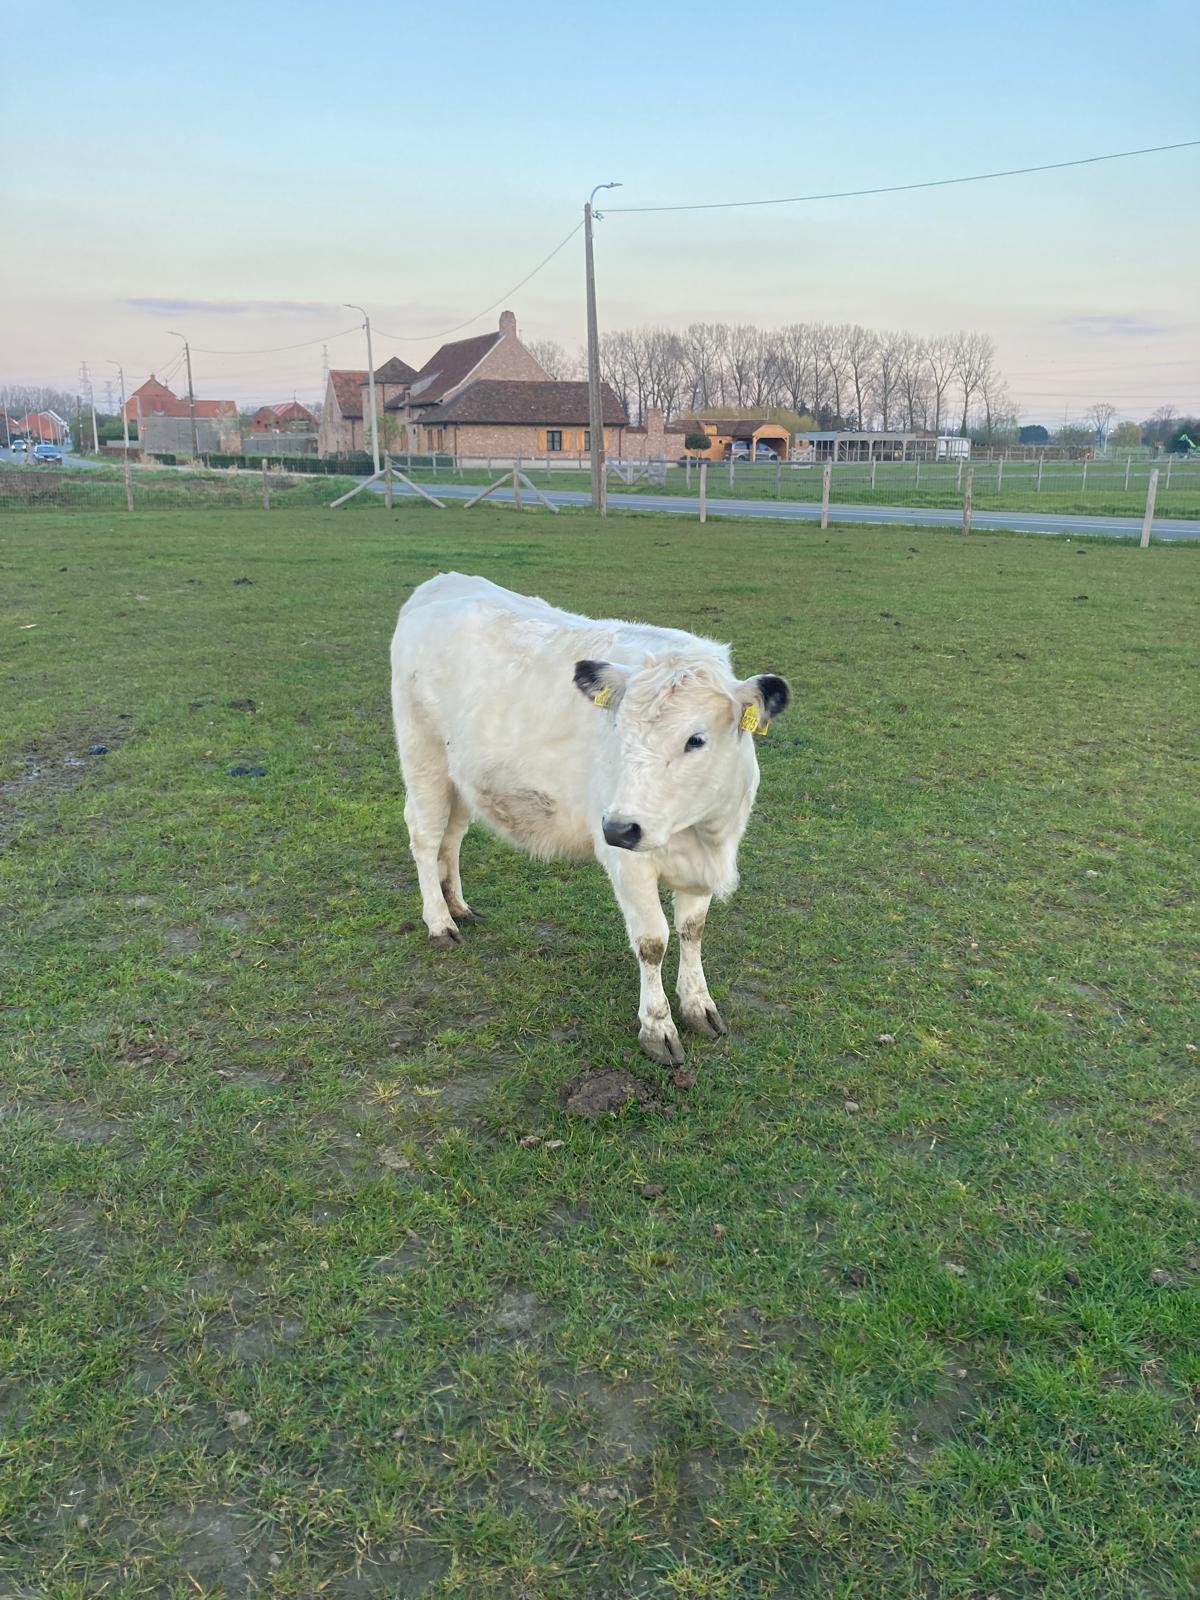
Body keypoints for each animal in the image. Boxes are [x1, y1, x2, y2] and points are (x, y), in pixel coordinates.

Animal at [390, 573, 790, 1066]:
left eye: (696, 739)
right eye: (619, 731)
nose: (620, 827)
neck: (700, 833)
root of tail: (442, 582)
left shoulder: (705, 858)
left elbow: (692, 931)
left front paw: (699, 1005)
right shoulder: (628, 861)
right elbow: (653, 941)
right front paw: (657, 1027)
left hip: (461, 775)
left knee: (453, 836)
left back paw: (458, 907)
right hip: (421, 755)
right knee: (425, 836)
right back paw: (439, 922)